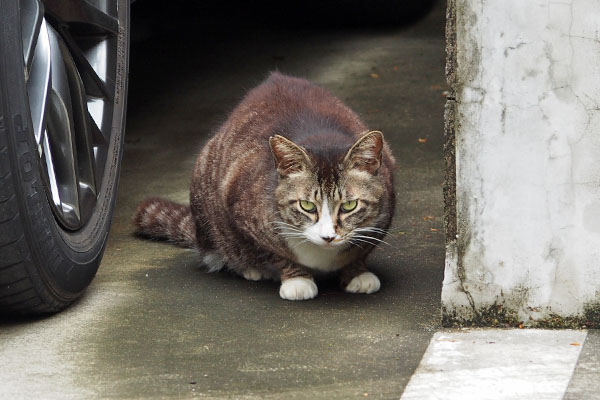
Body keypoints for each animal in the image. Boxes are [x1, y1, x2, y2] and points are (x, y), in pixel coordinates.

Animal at [134, 72, 396, 300]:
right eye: (307, 205)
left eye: (349, 205)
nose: (328, 237)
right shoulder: (242, 209)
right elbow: (274, 252)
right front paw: (296, 279)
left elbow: (362, 249)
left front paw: (357, 273)